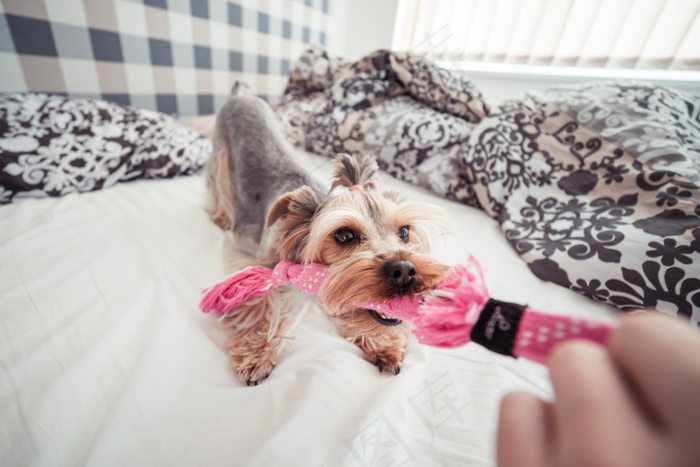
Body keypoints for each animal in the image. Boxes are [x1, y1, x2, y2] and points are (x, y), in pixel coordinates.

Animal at [205, 86, 452, 386]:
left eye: (404, 232)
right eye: (344, 236)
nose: (404, 270)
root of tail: (242, 95)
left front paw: (383, 345)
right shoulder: (256, 263)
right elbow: (260, 302)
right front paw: (256, 355)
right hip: (221, 152)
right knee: (218, 187)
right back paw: (221, 216)